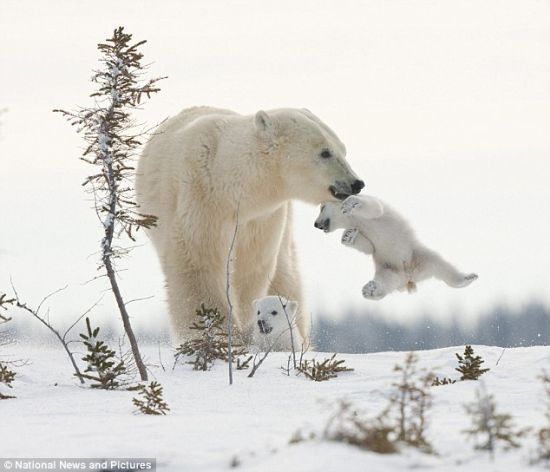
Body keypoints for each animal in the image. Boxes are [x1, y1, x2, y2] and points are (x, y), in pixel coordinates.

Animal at [136, 106, 364, 342]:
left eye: (343, 150)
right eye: (325, 152)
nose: (356, 183)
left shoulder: (262, 219)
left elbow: (250, 271)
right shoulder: (201, 200)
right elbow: (199, 264)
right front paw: (221, 335)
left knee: (286, 276)